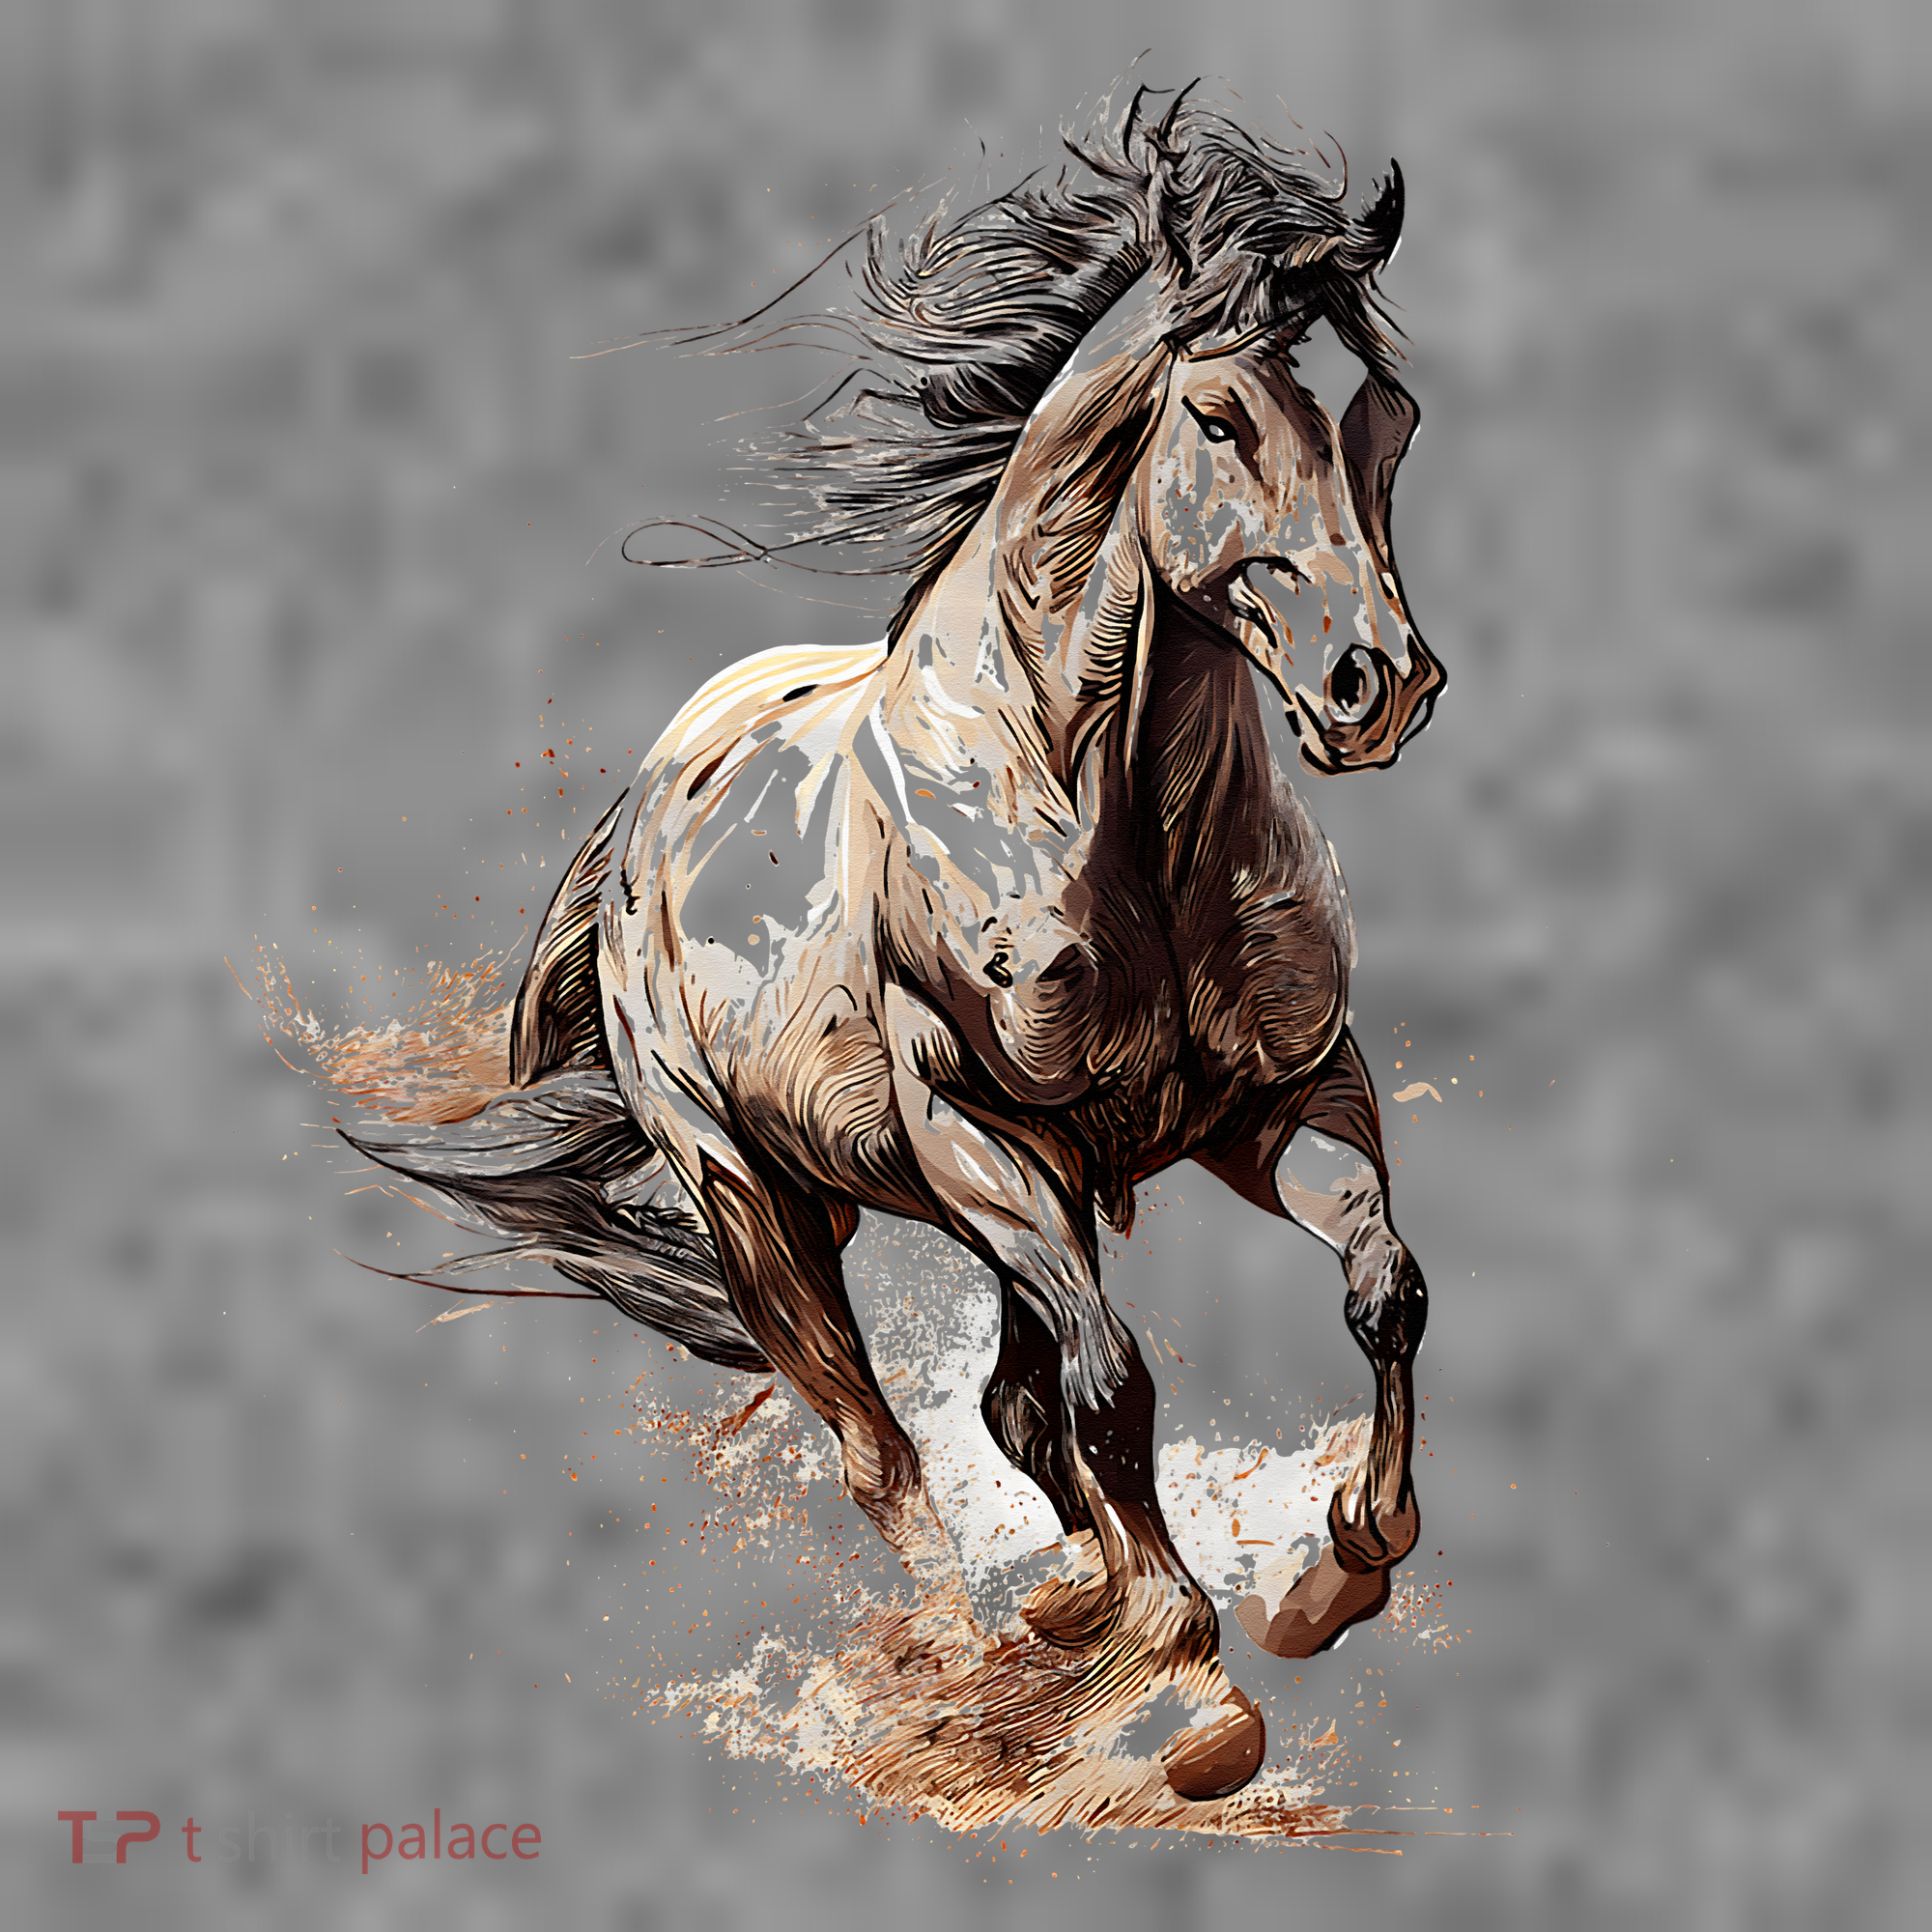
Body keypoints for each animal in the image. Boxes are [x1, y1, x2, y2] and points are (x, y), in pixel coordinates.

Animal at [348, 91, 1442, 1803]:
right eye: (1218, 419)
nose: (1377, 684)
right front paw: (1198, 1689)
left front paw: (1336, 1576)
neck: (1094, 806)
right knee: (883, 1444)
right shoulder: (981, 1137)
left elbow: (1382, 1288)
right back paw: (974, 1654)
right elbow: (1116, 1390)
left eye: (1391, 413)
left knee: (1008, 1404)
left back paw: (1070, 1605)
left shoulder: (1281, 1099)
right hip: (766, 1199)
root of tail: (645, 807)